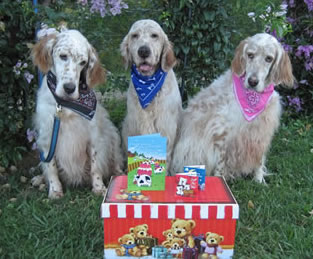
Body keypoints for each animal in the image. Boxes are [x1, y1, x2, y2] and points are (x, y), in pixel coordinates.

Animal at [31, 28, 122, 199]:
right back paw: (39, 179)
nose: (69, 88)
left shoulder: (93, 136)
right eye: (63, 56)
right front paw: (55, 190)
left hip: (112, 134)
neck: (65, 106)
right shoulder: (47, 138)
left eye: (83, 62)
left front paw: (99, 188)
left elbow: (95, 166)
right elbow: (51, 167)